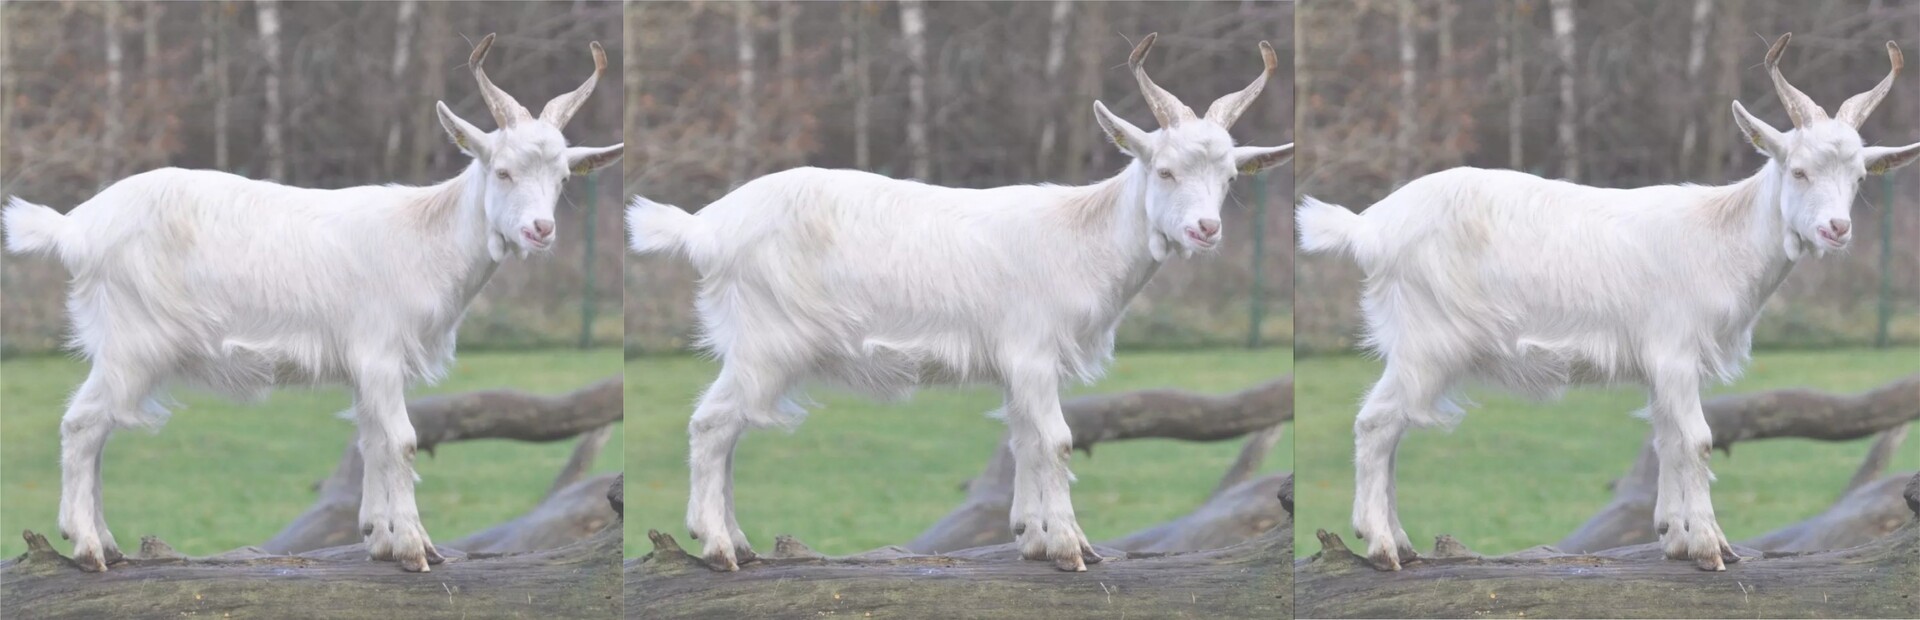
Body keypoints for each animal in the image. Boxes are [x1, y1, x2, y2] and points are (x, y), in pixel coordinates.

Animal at [0, 33, 622, 573]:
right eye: (503, 170)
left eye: (564, 178)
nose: (541, 230)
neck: (427, 236)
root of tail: (75, 228)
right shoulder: (379, 351)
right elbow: (402, 442)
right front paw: (415, 549)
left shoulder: (370, 364)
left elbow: (372, 441)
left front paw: (378, 537)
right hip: (134, 342)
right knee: (82, 424)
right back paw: (87, 547)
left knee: (98, 431)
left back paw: (106, 540)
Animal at [628, 33, 1292, 572]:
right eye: (1164, 170)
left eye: (1231, 178)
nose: (1206, 230)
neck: (1083, 235)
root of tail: (705, 227)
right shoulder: (1031, 351)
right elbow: (1057, 441)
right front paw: (1071, 549)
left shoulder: (1023, 364)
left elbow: (1025, 441)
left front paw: (1032, 537)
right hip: (768, 342)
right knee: (712, 423)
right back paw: (717, 547)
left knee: (729, 431)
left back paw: (739, 543)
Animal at [1296, 33, 1919, 572]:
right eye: (1799, 169)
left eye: (1860, 177)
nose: (1837, 229)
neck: (1722, 237)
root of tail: (1369, 228)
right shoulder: (1674, 350)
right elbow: (1697, 440)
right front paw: (1711, 548)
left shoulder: (1666, 363)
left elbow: (1668, 440)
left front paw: (1674, 536)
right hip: (1428, 341)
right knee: (1376, 423)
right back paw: (1381, 546)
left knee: (1392, 429)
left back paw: (1400, 539)